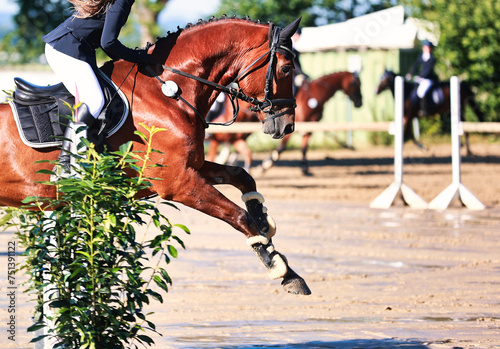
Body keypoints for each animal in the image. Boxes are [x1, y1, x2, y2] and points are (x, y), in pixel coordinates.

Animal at [0, 16, 310, 294]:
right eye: (286, 68)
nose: (287, 126)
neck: (166, 93)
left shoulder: (191, 167)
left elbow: (243, 177)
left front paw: (264, 222)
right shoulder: (177, 183)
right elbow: (239, 217)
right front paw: (283, 270)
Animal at [207, 70, 364, 175]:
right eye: (356, 83)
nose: (359, 103)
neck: (314, 96)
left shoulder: (308, 128)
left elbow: (304, 148)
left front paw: (305, 168)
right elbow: (281, 149)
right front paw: (265, 166)